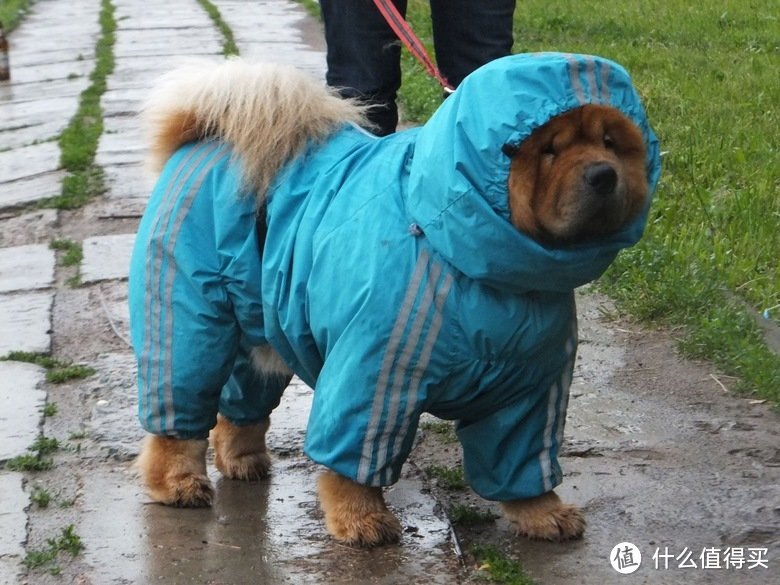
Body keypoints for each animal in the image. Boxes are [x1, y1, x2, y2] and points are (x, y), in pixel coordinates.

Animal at [128, 52, 660, 544]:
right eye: (549, 150)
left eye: (610, 143)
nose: (603, 174)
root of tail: (203, 138)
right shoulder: (376, 372)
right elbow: (354, 460)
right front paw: (361, 520)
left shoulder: (531, 387)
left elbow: (522, 462)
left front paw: (543, 514)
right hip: (192, 320)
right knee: (177, 410)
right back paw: (178, 484)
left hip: (259, 332)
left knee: (240, 405)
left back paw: (243, 460)